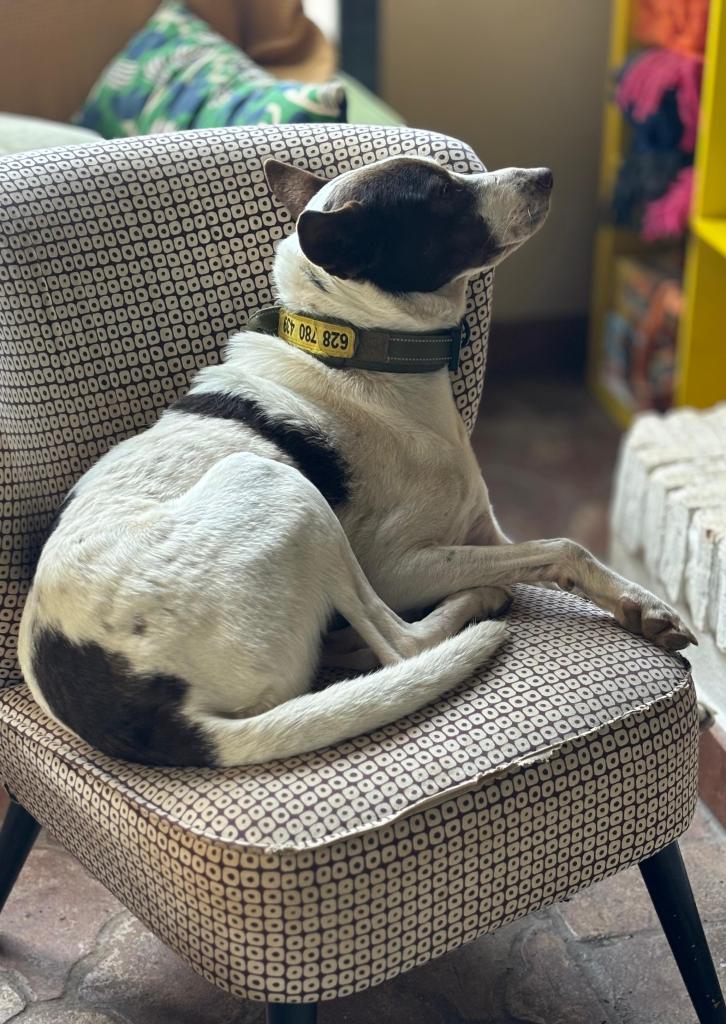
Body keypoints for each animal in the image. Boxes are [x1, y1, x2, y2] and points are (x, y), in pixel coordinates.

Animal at [17, 154, 695, 768]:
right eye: (442, 196)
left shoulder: (484, 532)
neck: (362, 348)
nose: (546, 176)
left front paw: (642, 604)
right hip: (279, 486)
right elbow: (562, 547)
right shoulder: (399, 567)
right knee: (402, 643)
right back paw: (473, 607)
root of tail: (154, 715)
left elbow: (565, 555)